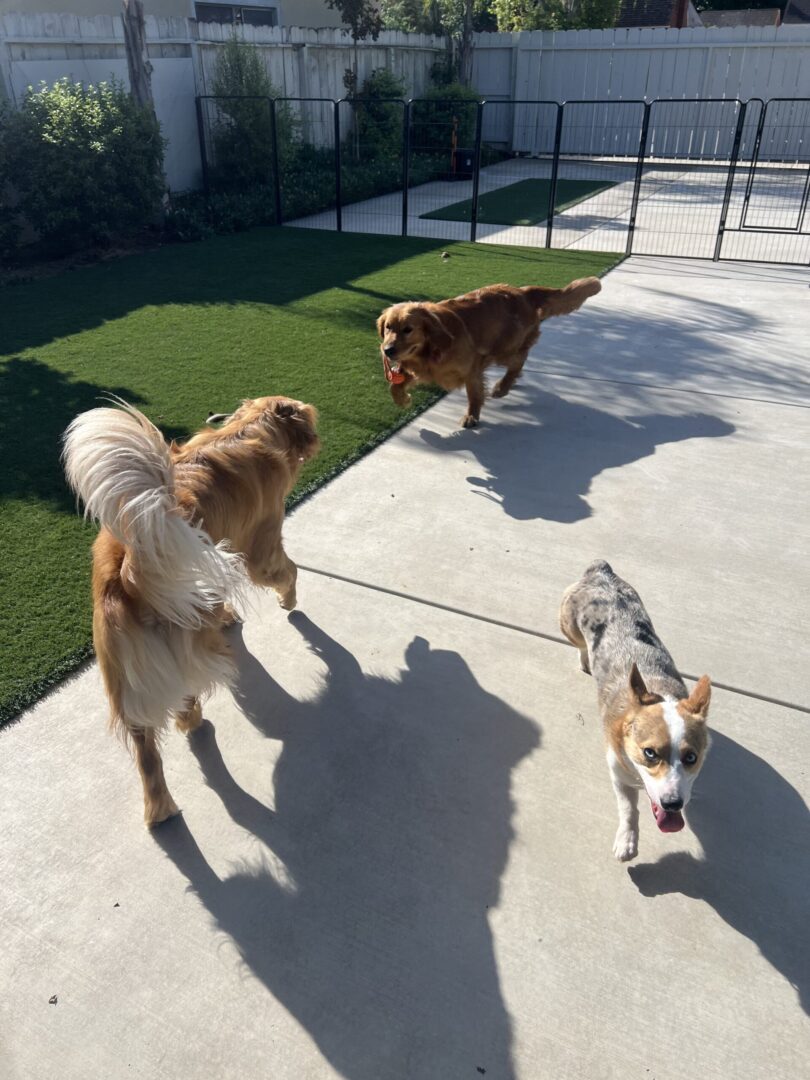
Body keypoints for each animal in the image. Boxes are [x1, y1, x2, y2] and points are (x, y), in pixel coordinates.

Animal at [63, 397, 319, 825]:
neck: (250, 429)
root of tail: (130, 568)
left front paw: (232, 613)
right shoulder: (260, 547)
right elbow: (286, 571)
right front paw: (290, 600)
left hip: (125, 673)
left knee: (147, 752)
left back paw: (160, 810)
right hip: (187, 639)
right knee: (185, 694)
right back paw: (192, 719)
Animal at [378, 276, 600, 427]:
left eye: (408, 329)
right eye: (388, 327)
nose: (387, 350)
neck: (432, 348)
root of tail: (524, 292)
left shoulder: (472, 369)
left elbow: (474, 394)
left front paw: (471, 416)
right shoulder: (420, 369)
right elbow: (393, 386)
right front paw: (403, 400)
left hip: (504, 349)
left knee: (519, 360)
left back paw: (503, 386)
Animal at [561, 561, 712, 864]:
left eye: (691, 757)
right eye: (649, 753)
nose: (673, 804)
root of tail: (600, 570)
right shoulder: (619, 774)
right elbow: (629, 809)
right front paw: (626, 843)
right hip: (567, 624)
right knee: (580, 644)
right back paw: (584, 659)